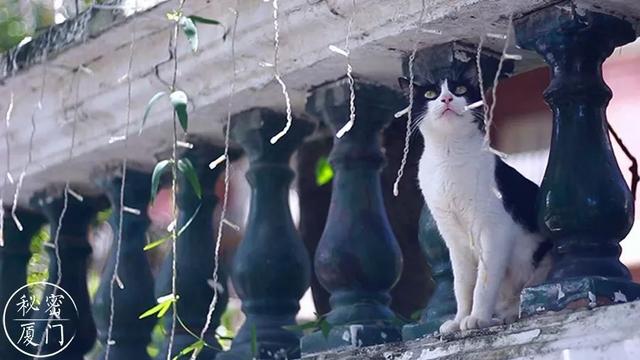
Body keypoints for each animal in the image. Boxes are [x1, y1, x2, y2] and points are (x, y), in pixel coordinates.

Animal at [398, 69, 552, 334]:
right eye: (430, 94)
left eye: (459, 89)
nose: (447, 98)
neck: (448, 156)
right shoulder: (454, 239)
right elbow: (462, 286)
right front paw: (459, 320)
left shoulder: (495, 230)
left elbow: (483, 283)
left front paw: (477, 318)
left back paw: (507, 314)